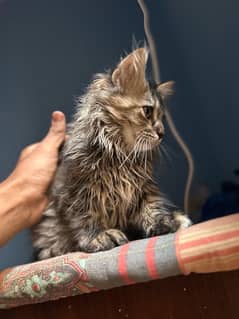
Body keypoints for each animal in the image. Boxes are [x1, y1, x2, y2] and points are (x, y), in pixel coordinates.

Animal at [32, 48, 191, 262]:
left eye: (162, 118)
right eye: (147, 111)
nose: (162, 133)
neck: (120, 155)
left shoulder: (142, 189)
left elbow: (150, 208)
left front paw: (166, 221)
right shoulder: (76, 191)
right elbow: (85, 217)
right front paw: (99, 236)